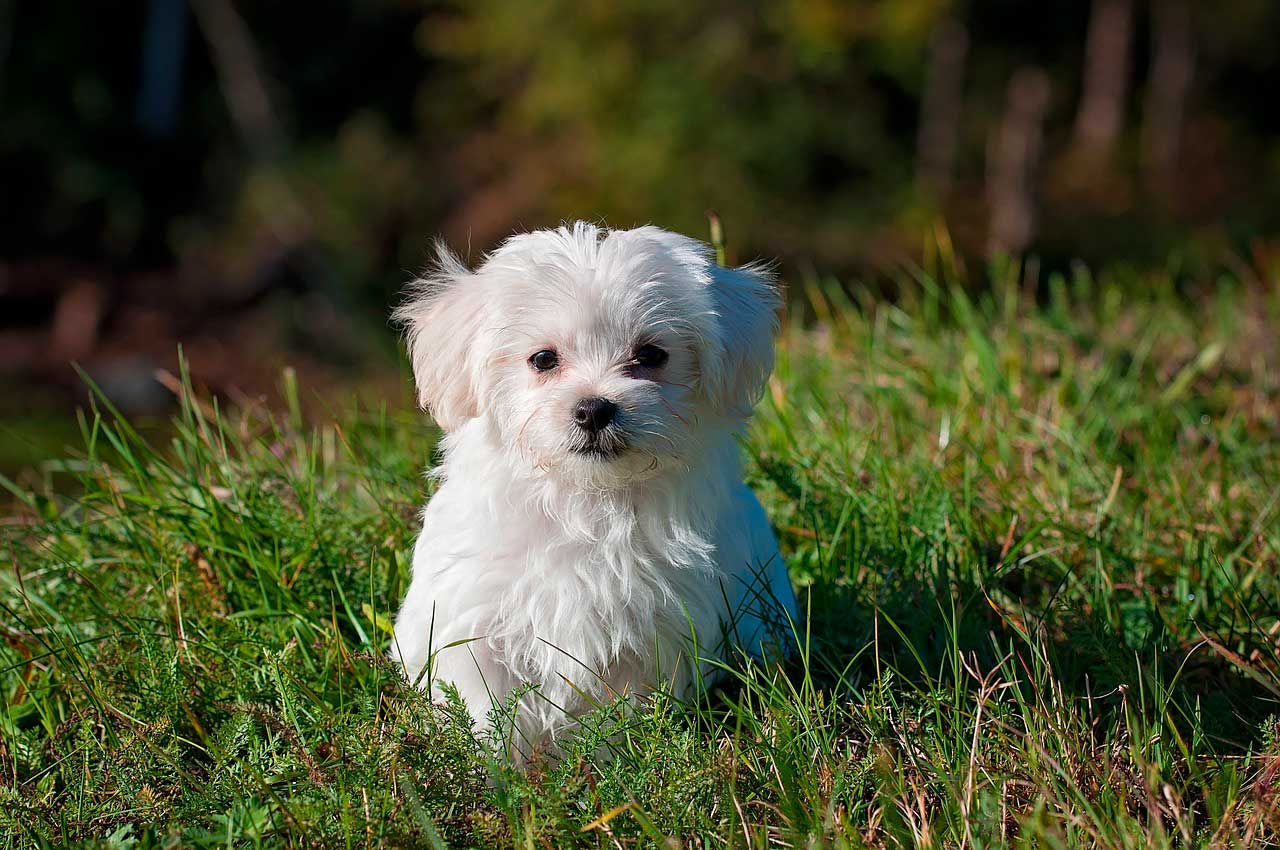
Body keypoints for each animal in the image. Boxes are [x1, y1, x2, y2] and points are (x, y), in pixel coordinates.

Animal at [389, 220, 793, 757]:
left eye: (650, 355)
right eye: (542, 359)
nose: (594, 408)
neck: (586, 500)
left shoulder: (652, 635)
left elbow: (618, 715)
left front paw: (606, 764)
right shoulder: (474, 624)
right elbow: (488, 711)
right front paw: (498, 772)